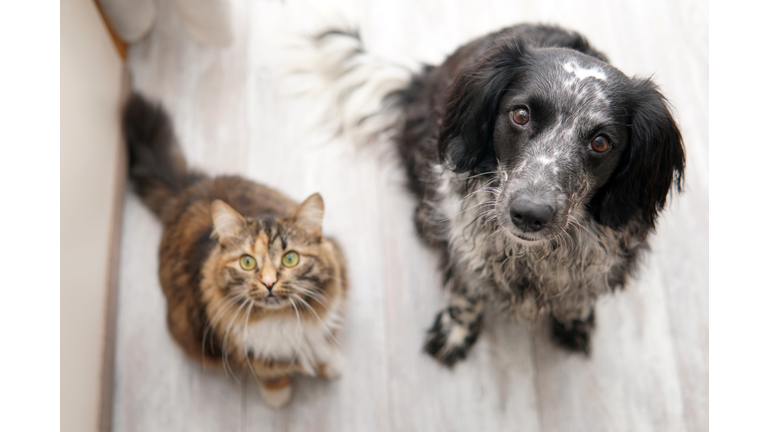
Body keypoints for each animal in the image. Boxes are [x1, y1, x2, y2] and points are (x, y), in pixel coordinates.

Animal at [123, 93, 348, 406]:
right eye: (247, 262)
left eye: (290, 258)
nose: (269, 283)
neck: (279, 320)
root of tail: (190, 188)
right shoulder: (238, 346)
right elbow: (269, 369)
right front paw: (277, 394)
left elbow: (320, 341)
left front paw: (330, 363)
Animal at [296, 24, 688, 364]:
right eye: (520, 115)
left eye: (601, 142)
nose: (529, 214)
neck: (532, 259)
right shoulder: (465, 243)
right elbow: (467, 291)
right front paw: (456, 330)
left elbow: (580, 293)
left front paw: (575, 317)